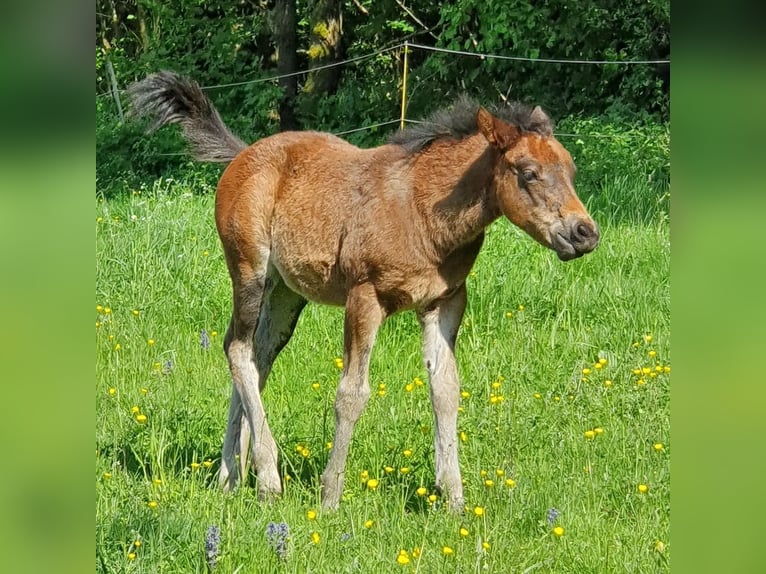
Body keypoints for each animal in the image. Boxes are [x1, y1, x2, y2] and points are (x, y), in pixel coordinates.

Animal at [127, 72, 600, 512]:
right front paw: (330, 496)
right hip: (249, 270)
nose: (585, 233)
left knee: (255, 356)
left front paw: (455, 501)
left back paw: (230, 475)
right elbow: (351, 394)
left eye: (572, 170)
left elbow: (446, 390)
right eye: (528, 173)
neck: (422, 212)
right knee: (238, 350)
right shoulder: (364, 297)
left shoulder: (445, 302)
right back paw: (267, 478)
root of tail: (242, 154)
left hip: (285, 291)